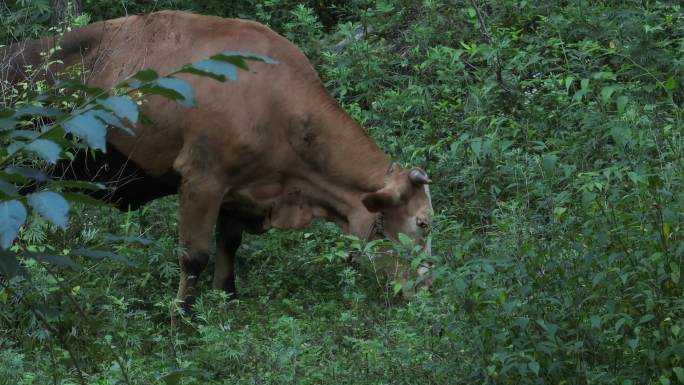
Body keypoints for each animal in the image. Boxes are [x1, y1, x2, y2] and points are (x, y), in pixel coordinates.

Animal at [1, 11, 432, 312]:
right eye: (423, 223)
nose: (428, 289)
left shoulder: (239, 190)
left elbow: (229, 245)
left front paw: (225, 302)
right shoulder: (201, 178)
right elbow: (194, 255)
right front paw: (182, 319)